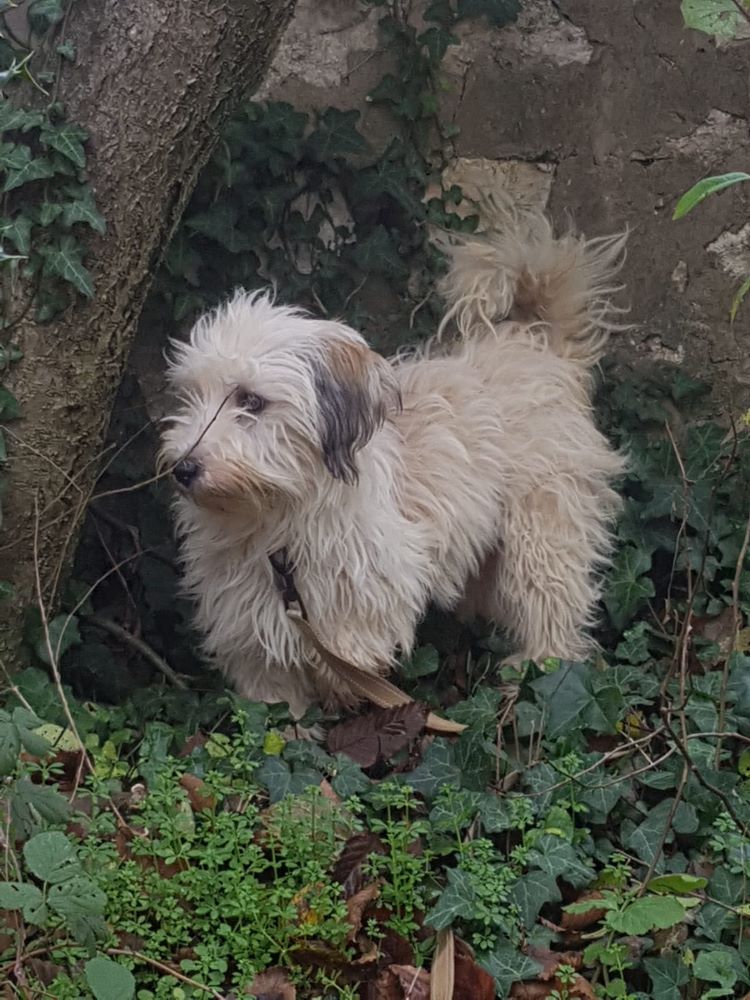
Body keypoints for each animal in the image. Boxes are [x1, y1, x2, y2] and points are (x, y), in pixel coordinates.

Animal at [163, 205, 628, 720]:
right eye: (190, 397)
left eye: (251, 401)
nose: (183, 468)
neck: (276, 519)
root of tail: (538, 344)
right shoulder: (247, 611)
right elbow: (272, 693)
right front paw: (293, 722)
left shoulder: (374, 577)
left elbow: (350, 646)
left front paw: (343, 685)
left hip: (543, 527)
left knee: (554, 603)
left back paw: (540, 671)